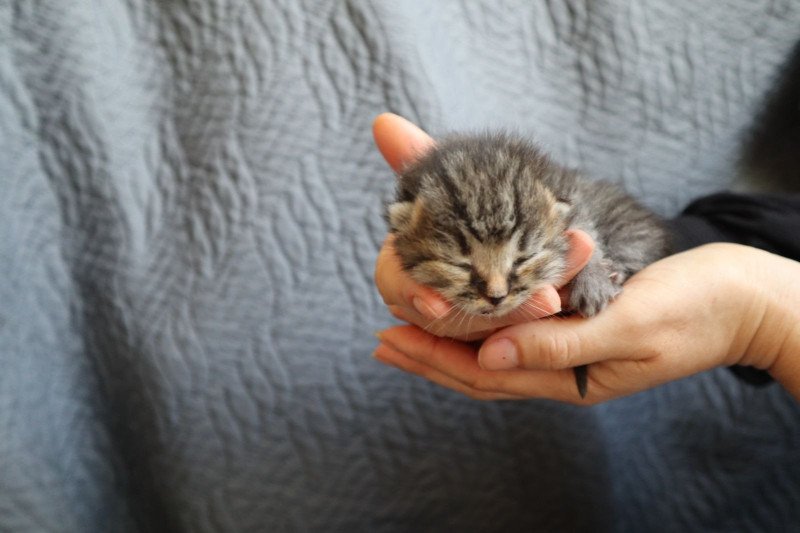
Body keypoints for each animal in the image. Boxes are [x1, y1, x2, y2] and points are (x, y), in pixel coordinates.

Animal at [384, 132, 672, 396]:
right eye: (461, 265)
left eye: (523, 259)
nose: (497, 297)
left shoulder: (577, 202)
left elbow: (587, 233)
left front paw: (593, 281)